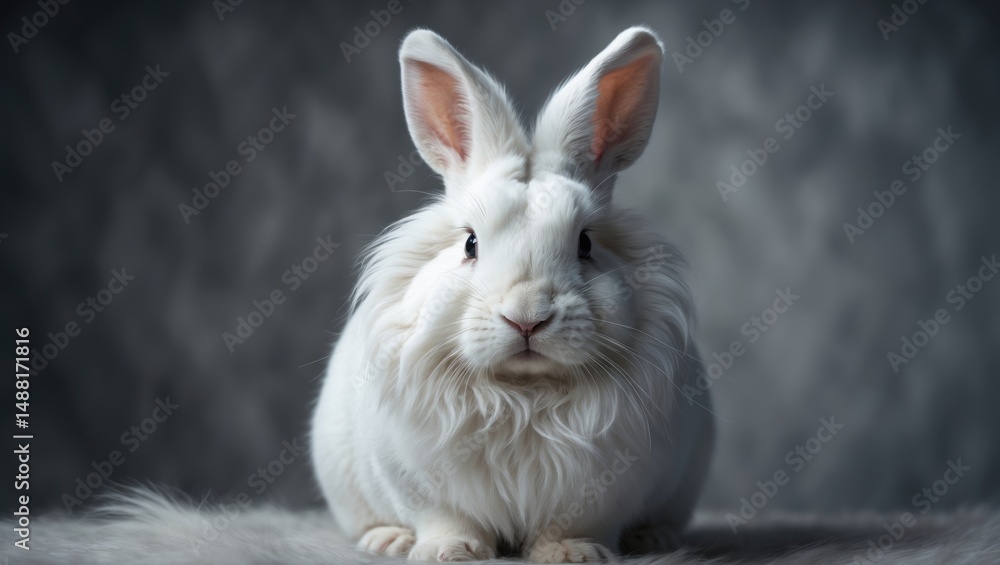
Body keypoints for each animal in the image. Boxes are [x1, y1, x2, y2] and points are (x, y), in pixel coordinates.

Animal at [311, 26, 715, 563]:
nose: (527, 317)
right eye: (470, 243)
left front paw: (573, 554)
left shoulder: (605, 490)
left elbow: (577, 523)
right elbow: (445, 518)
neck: (522, 395)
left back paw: (654, 539)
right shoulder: (420, 483)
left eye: (585, 243)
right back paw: (389, 540)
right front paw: (450, 552)